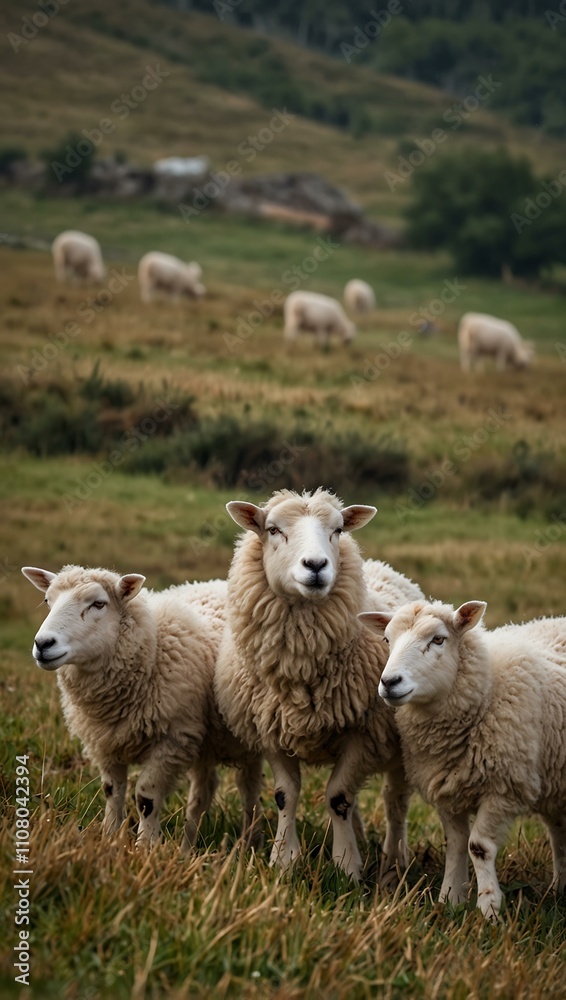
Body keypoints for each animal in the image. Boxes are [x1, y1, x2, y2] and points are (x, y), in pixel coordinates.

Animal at [21, 565, 263, 851]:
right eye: (48, 600)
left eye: (98, 603)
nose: (43, 644)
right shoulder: (106, 743)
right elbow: (111, 791)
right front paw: (109, 838)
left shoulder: (172, 741)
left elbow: (146, 797)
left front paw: (145, 846)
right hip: (206, 740)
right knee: (204, 791)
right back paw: (187, 847)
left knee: (248, 787)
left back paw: (249, 842)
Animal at [215, 488, 424, 881]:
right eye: (273, 529)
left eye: (338, 530)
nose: (315, 565)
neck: (300, 668)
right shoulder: (271, 729)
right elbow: (286, 794)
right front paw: (284, 860)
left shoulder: (364, 733)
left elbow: (337, 797)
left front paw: (346, 867)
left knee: (395, 803)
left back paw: (394, 861)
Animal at [359, 600, 566, 920]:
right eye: (386, 640)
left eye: (438, 639)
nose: (389, 682)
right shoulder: (446, 790)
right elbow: (456, 846)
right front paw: (449, 900)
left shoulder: (504, 789)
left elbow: (478, 846)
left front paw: (488, 909)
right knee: (558, 833)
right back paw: (559, 890)